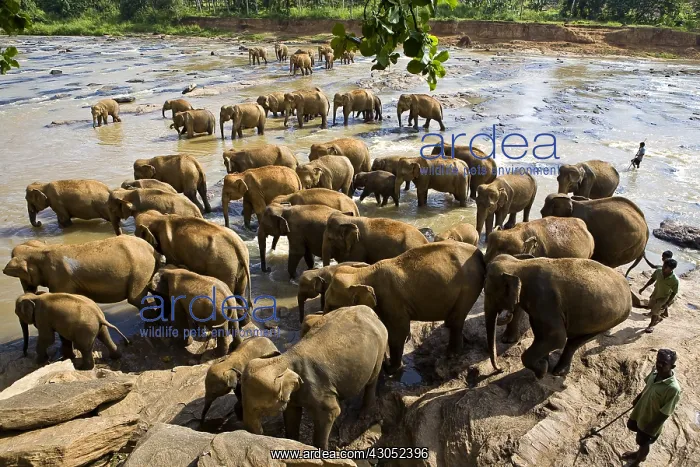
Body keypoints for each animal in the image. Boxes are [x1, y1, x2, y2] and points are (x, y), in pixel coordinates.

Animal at [3, 236, 159, 310]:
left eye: (20, 275)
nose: (30, 291)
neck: (40, 250)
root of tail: (151, 249)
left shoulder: (61, 281)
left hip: (141, 270)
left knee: (135, 299)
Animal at [241, 305, 387, 449]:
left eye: (259, 409)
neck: (284, 359)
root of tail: (371, 312)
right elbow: (291, 414)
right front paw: (293, 442)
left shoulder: (318, 386)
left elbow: (331, 412)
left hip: (381, 346)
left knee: (372, 380)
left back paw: (364, 414)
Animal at [323, 242, 486, 372]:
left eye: (332, 306)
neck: (364, 273)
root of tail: (479, 253)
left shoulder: (391, 299)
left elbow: (398, 331)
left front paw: (391, 369)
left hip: (469, 287)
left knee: (457, 319)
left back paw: (452, 354)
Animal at [484, 254, 632, 377]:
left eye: (489, 293)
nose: (501, 369)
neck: (518, 264)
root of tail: (627, 287)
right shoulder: (539, 308)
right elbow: (542, 334)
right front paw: (544, 363)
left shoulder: (544, 301)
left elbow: (556, 337)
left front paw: (542, 370)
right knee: (575, 341)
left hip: (614, 318)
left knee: (576, 340)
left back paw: (558, 372)